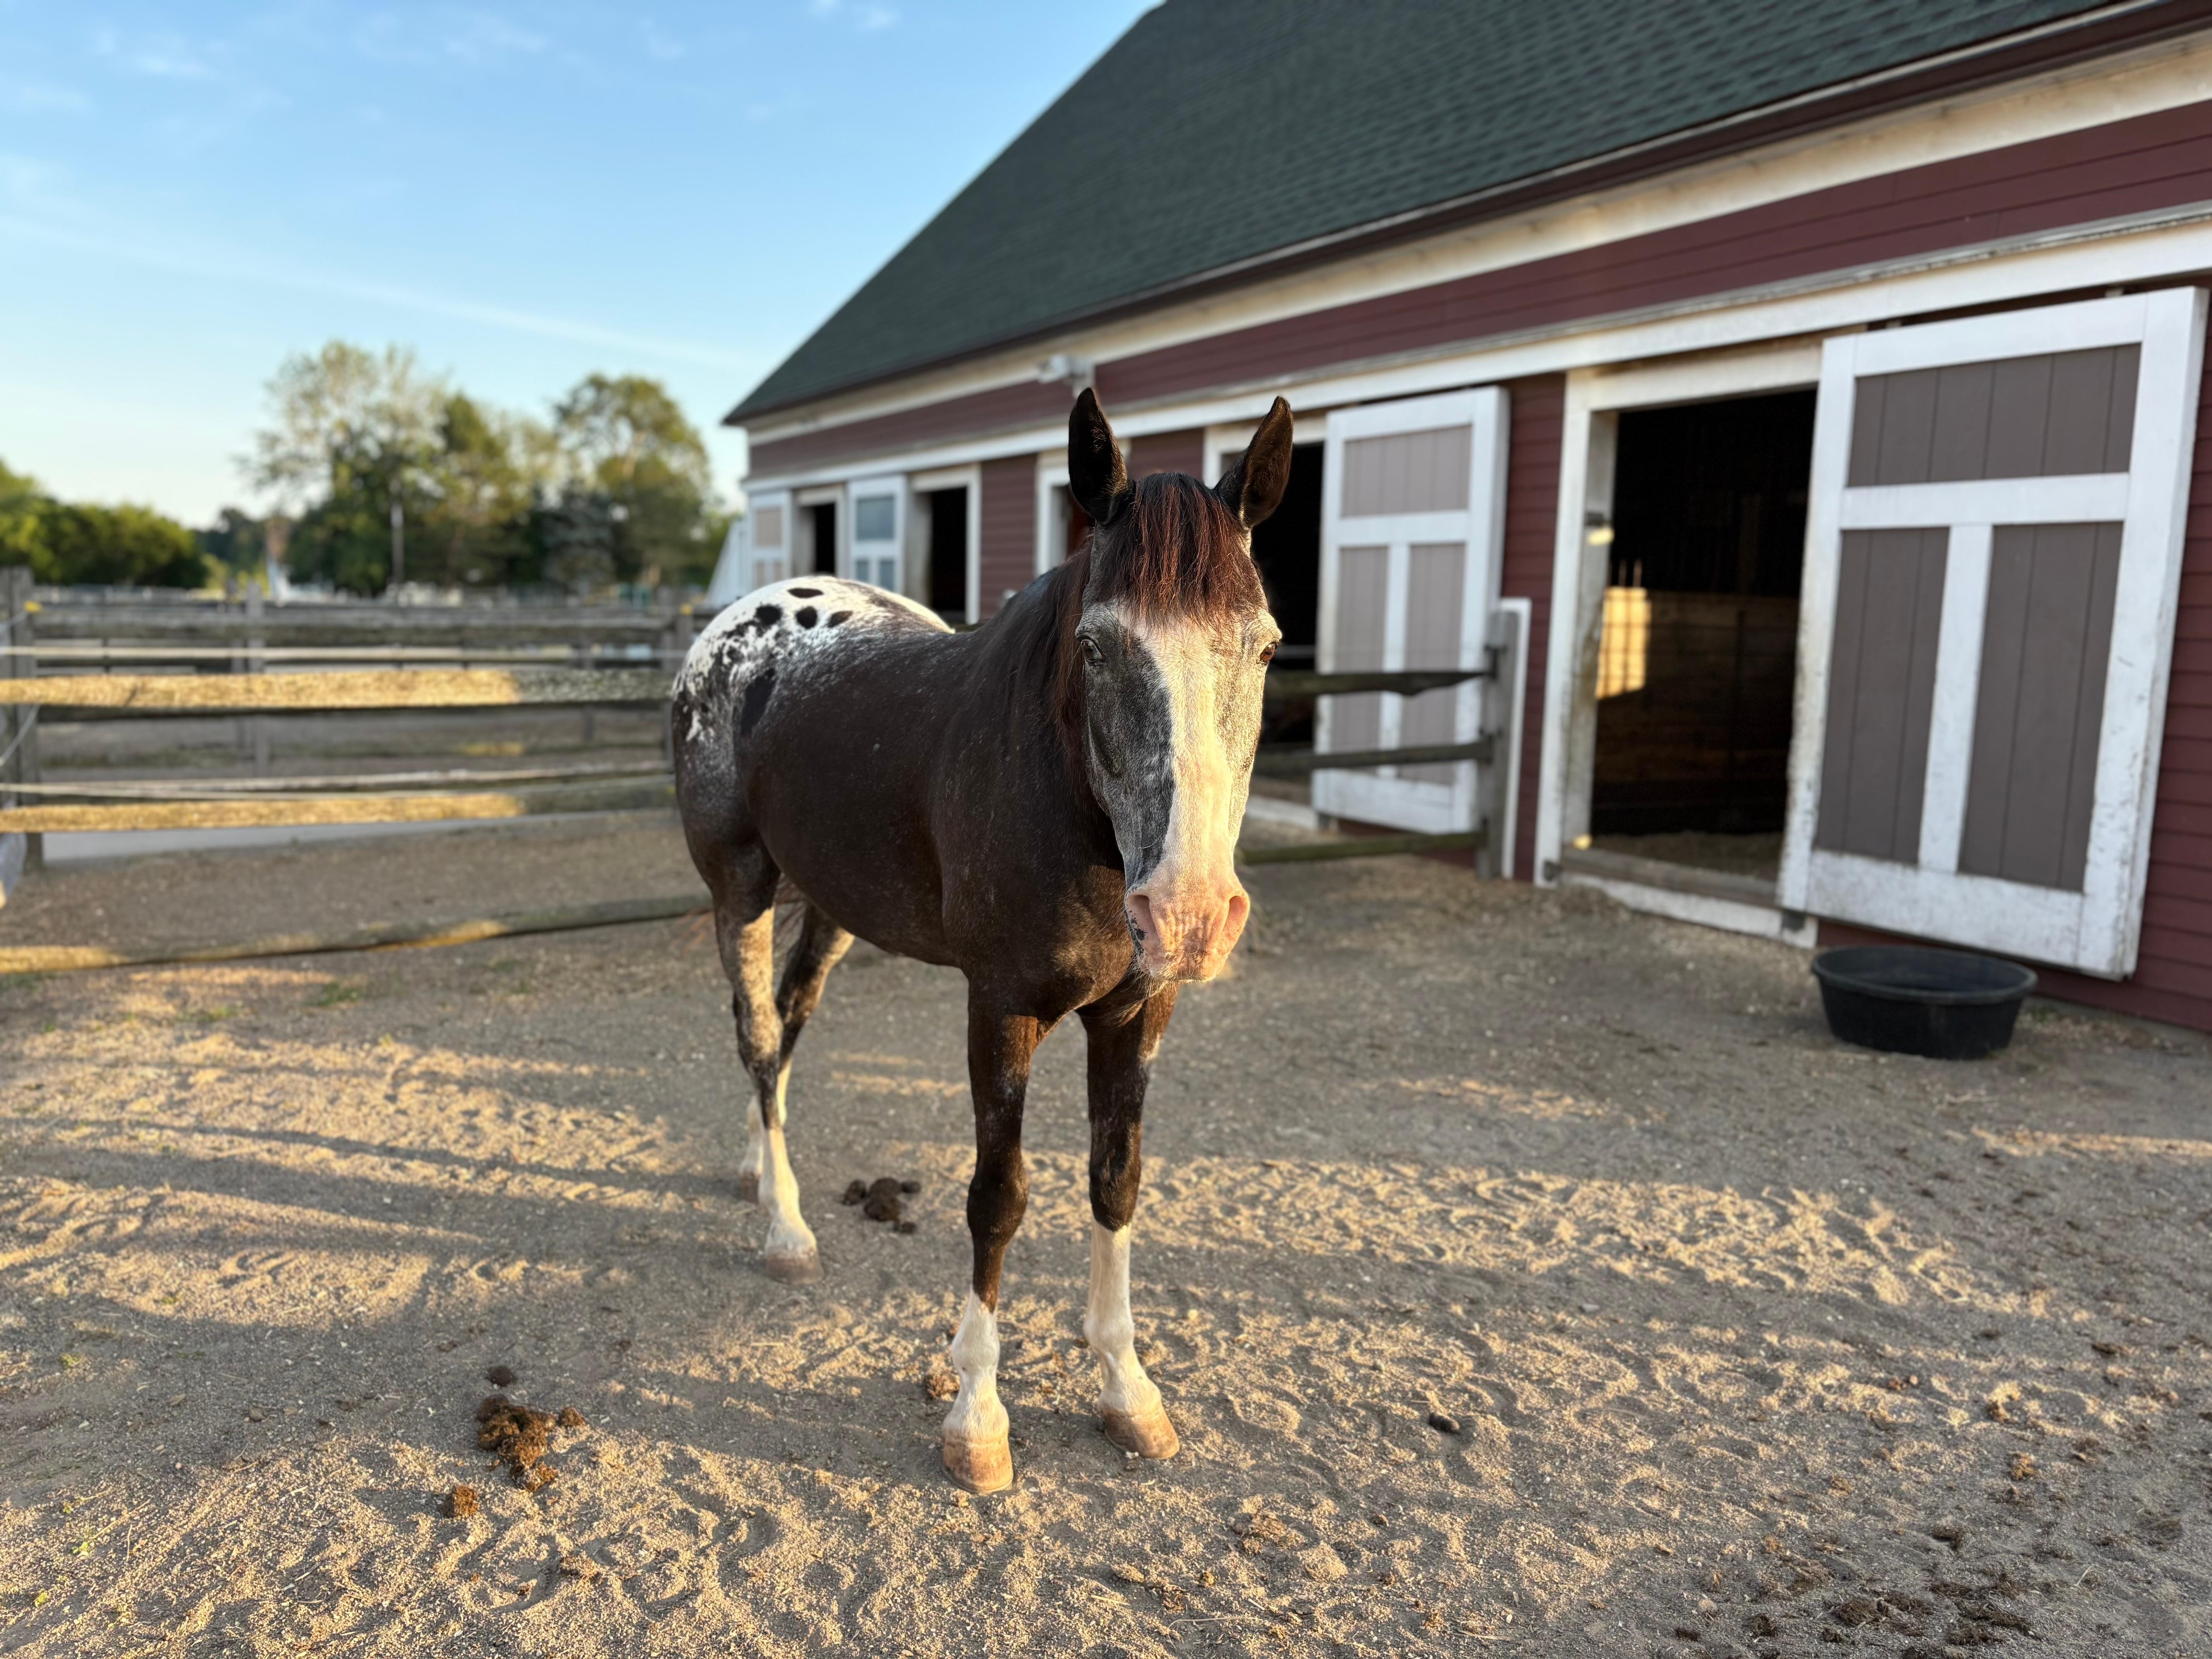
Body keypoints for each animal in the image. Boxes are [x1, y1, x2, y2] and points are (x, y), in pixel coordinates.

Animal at [670, 389, 1293, 1494]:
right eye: (1096, 647)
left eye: (1262, 646)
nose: (1186, 914)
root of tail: (745, 621)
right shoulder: (999, 1009)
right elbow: (998, 1198)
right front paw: (976, 1419)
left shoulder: (1136, 1013)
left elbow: (1115, 1180)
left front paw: (1127, 1391)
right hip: (738, 887)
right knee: (754, 1033)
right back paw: (786, 1228)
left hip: (833, 906)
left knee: (785, 1027)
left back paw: (757, 1168)